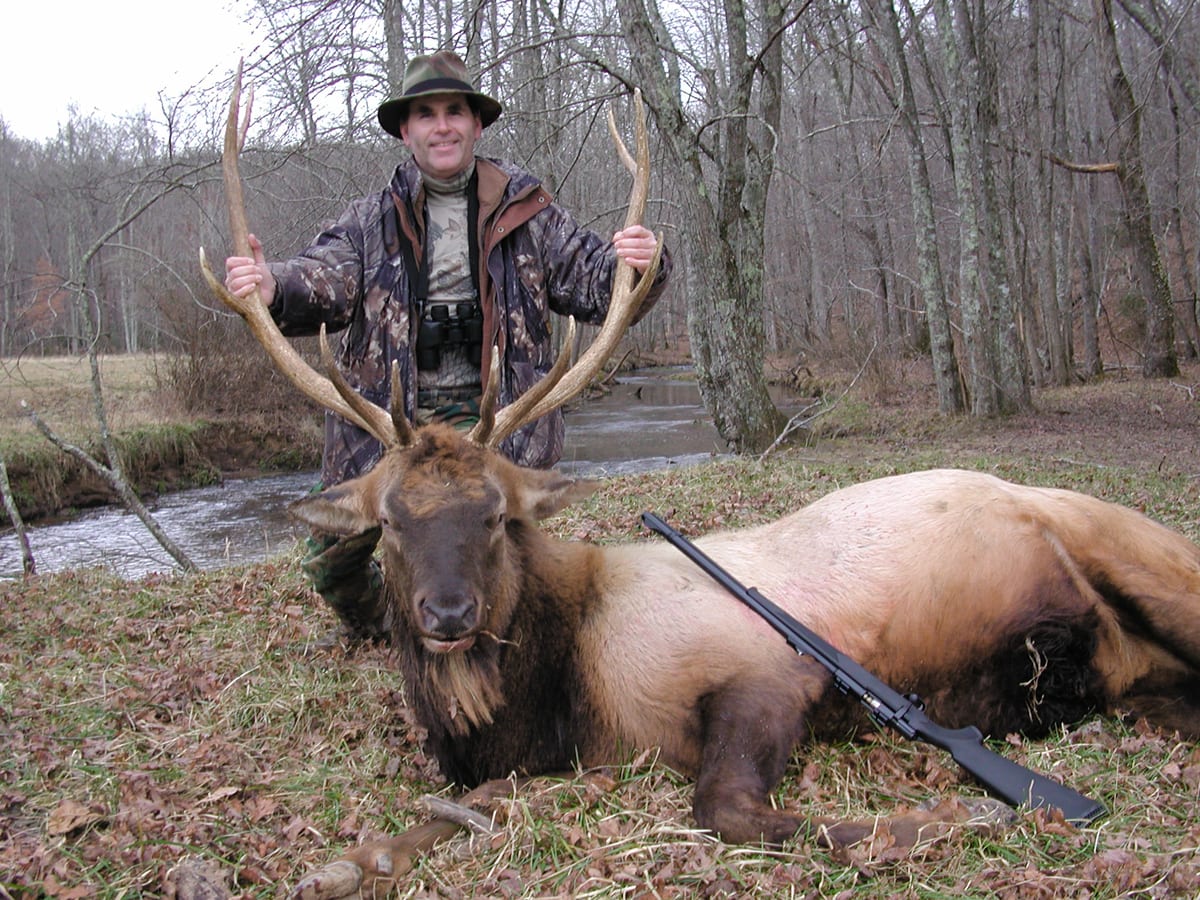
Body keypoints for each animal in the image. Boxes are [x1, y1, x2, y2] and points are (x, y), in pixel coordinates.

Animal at [201, 67, 1200, 899]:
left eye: (493, 514)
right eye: (393, 521)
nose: (448, 615)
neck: (555, 698)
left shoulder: (766, 669)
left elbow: (723, 809)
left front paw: (939, 819)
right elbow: (417, 828)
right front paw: (342, 863)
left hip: (1136, 549)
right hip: (1133, 678)